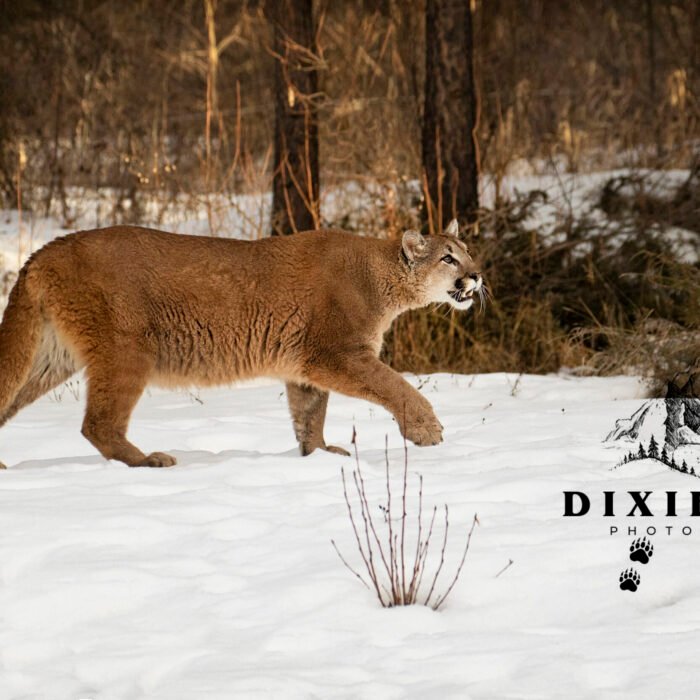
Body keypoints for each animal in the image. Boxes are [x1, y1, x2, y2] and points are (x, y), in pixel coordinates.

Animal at [0, 219, 483, 468]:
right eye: (448, 258)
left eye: (468, 251)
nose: (477, 275)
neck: (382, 275)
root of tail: (45, 250)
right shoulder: (337, 354)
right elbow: (396, 386)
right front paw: (426, 430)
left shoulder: (305, 367)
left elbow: (310, 414)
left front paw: (318, 455)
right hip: (128, 349)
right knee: (97, 424)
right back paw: (148, 460)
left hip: (48, 359)